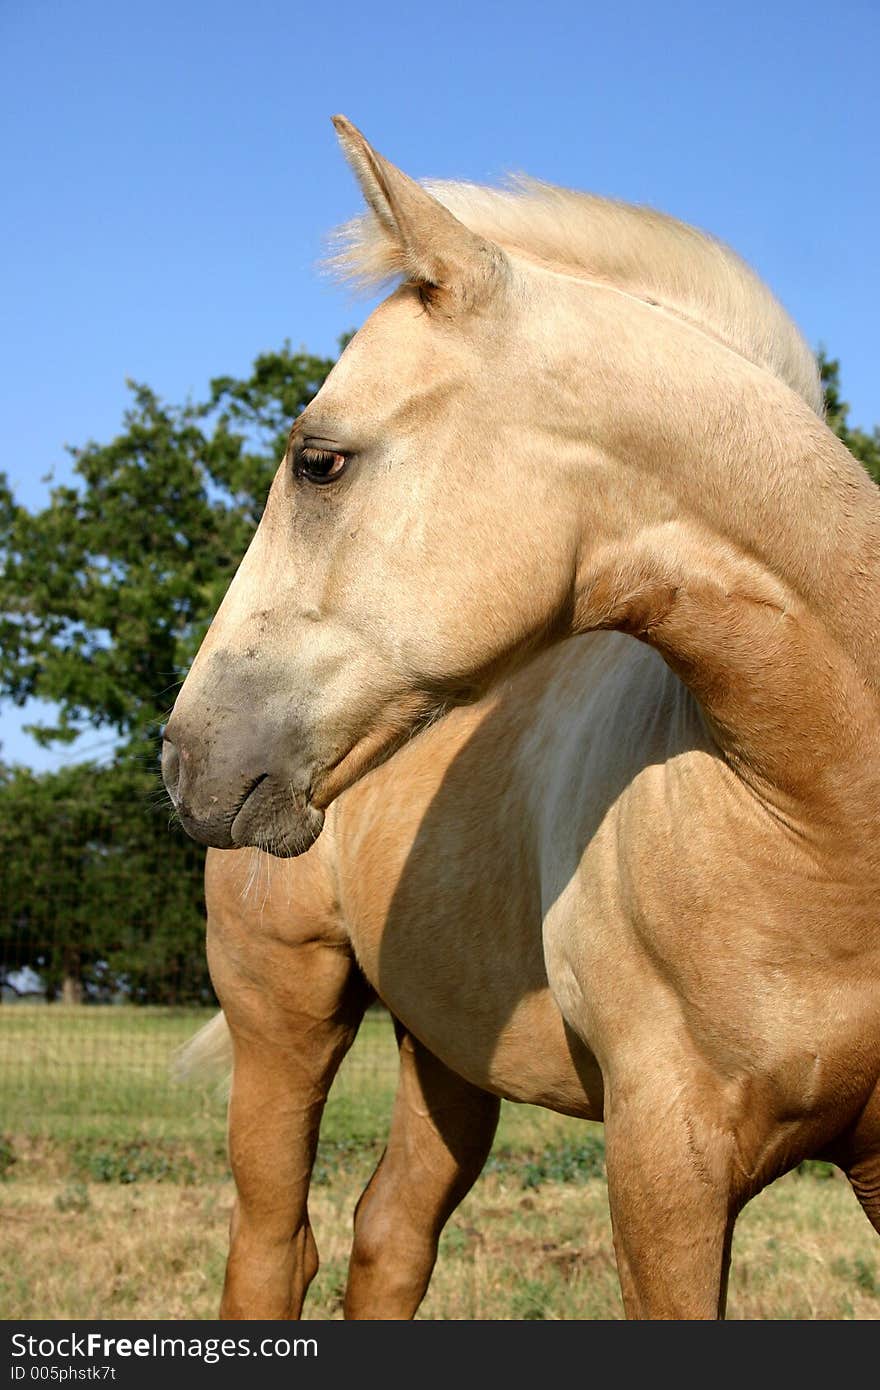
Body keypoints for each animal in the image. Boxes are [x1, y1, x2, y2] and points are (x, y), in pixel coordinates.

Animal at [166, 113, 878, 1317]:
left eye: (319, 460)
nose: (185, 756)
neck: (820, 827)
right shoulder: (664, 1166)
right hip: (285, 1016)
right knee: (272, 1245)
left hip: (444, 1049)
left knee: (387, 1237)